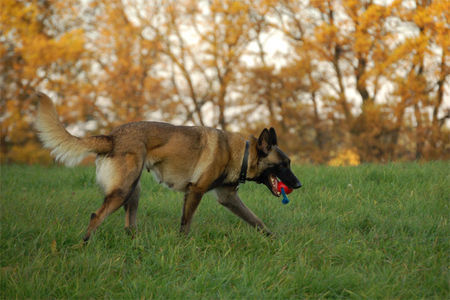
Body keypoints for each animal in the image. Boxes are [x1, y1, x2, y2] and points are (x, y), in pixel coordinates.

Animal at [35, 92, 302, 240]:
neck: (240, 152)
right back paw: (85, 244)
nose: (299, 185)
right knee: (96, 216)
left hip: (134, 190)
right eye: (283, 165)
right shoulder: (195, 191)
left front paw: (274, 240)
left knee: (129, 225)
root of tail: (112, 137)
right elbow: (185, 224)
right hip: (122, 190)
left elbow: (257, 221)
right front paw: (183, 245)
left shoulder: (228, 198)